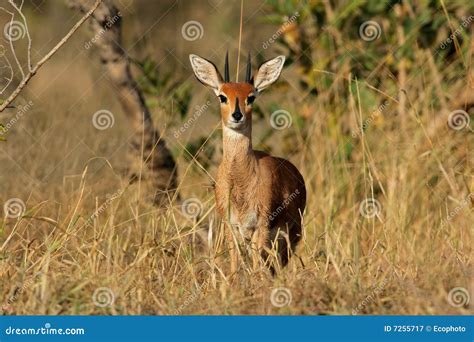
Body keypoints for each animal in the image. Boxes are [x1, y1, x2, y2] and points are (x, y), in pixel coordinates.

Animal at [190, 52, 308, 274]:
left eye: (251, 96)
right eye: (222, 96)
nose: (237, 115)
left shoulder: (260, 227)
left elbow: (256, 265)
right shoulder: (231, 226)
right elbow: (235, 263)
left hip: (290, 236)